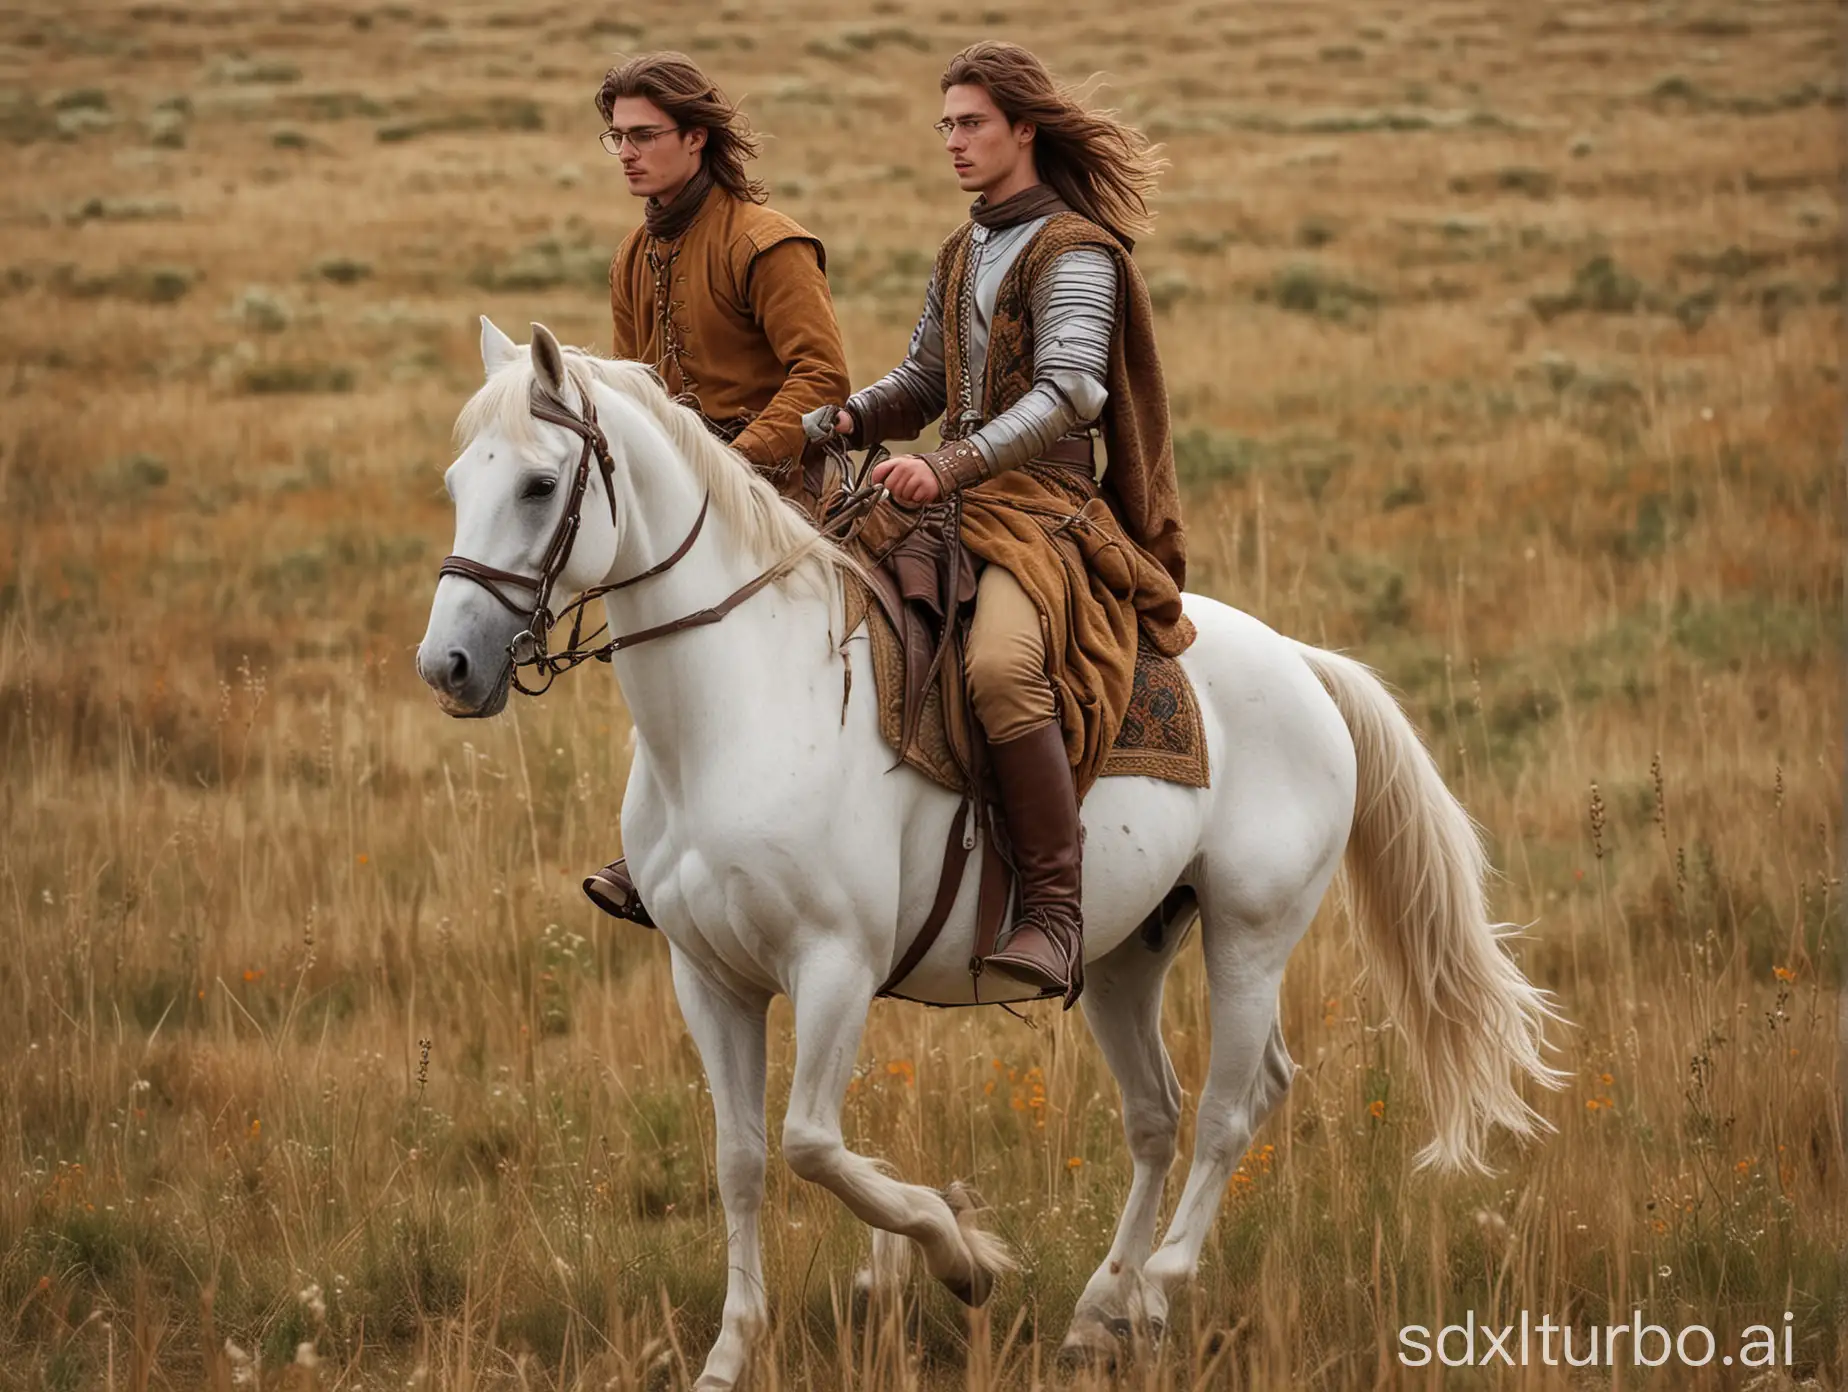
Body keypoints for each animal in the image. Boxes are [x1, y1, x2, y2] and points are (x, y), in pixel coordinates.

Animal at [419, 317, 1559, 1390]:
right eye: (456, 481)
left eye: (538, 483)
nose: (449, 666)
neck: (740, 702)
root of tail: (1305, 667)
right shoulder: (710, 978)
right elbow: (743, 1159)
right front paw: (730, 1356)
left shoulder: (835, 967)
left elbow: (813, 1143)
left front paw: (956, 1248)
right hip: (1122, 954)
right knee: (1158, 1114)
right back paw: (1099, 1311)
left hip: (1249, 935)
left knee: (1235, 1105)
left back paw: (1155, 1293)